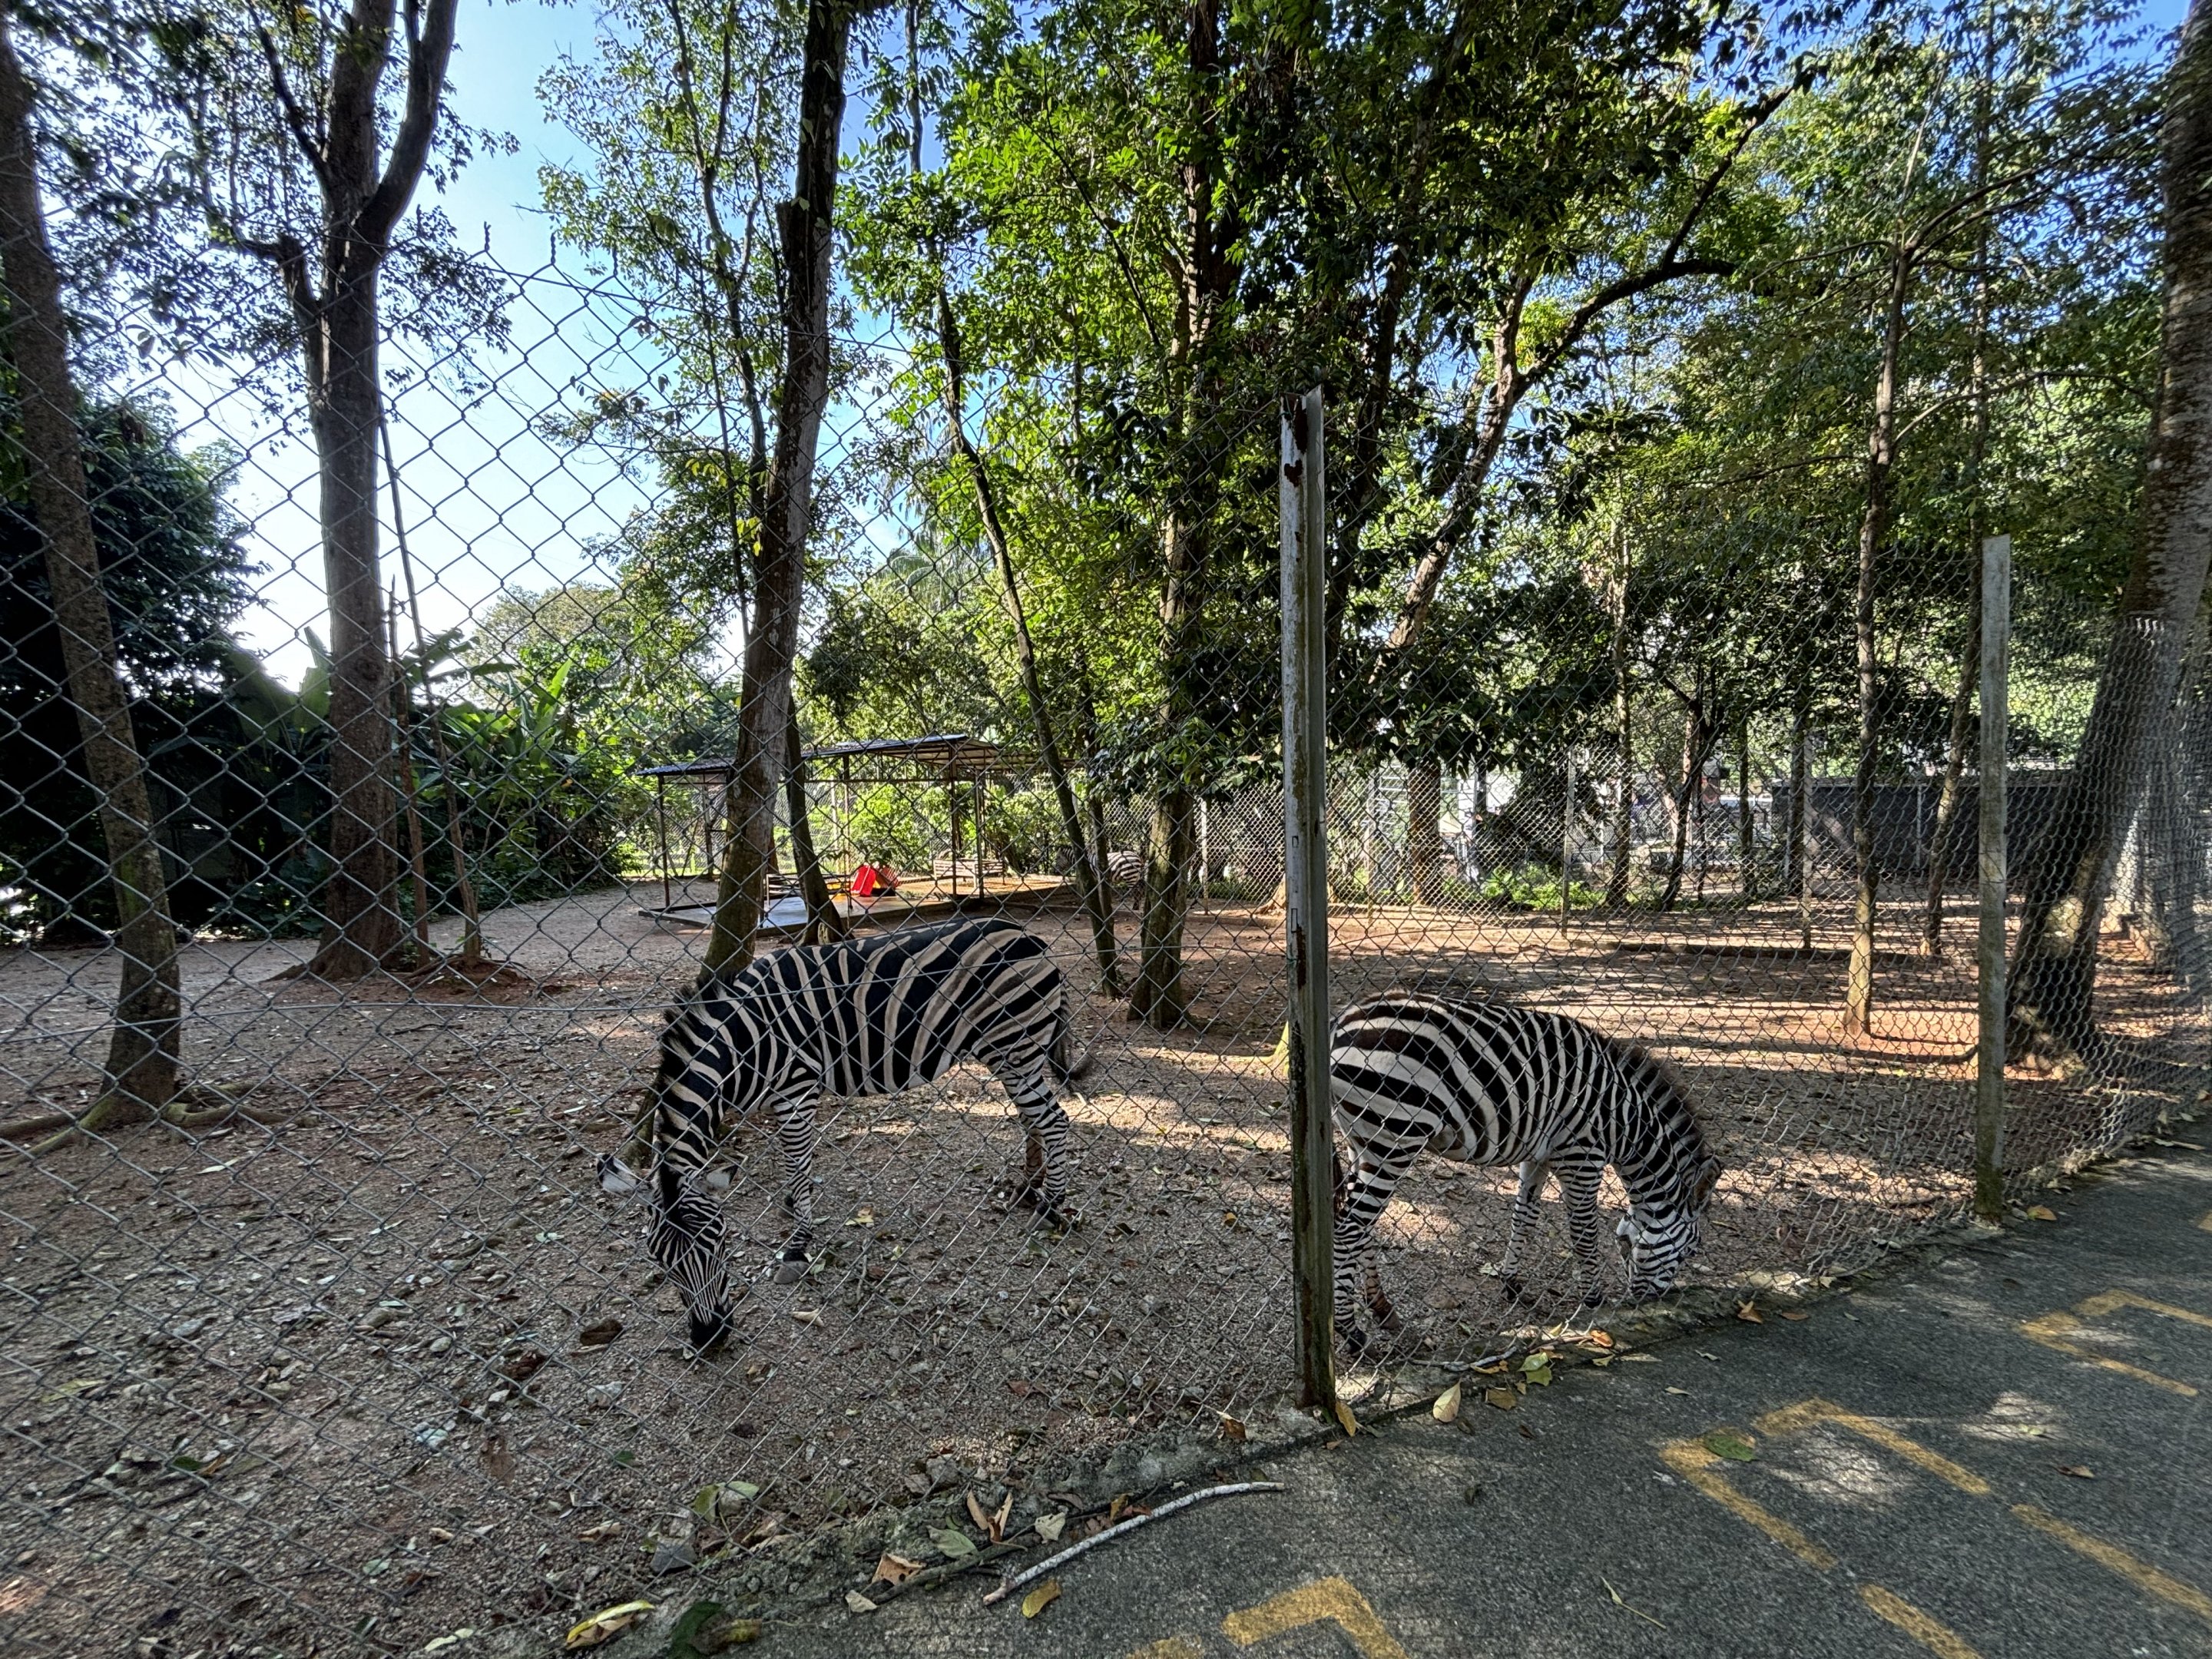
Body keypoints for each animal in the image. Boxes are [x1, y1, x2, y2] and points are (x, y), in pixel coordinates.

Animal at [599, 917, 1089, 1352]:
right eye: (659, 1261)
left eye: (718, 1244)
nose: (709, 1337)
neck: (745, 1044)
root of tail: (1032, 938)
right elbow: (790, 1166)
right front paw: (791, 1209)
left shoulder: (796, 1089)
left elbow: (798, 1164)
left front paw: (797, 1247)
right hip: (1013, 1053)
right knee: (1033, 1118)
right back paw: (1028, 1186)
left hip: (1014, 1046)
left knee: (1053, 1120)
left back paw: (1049, 1207)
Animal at [1329, 990, 1720, 1354]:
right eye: (1690, 1252)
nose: (1653, 1302)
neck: (1624, 1121)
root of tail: (1341, 1023)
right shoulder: (1582, 1157)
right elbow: (1584, 1233)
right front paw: (1593, 1302)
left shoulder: (1539, 1156)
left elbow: (1524, 1216)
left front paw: (1512, 1283)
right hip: (1395, 1139)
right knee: (1349, 1228)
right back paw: (1350, 1331)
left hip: (1361, 1141)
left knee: (1361, 1225)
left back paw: (1381, 1308)